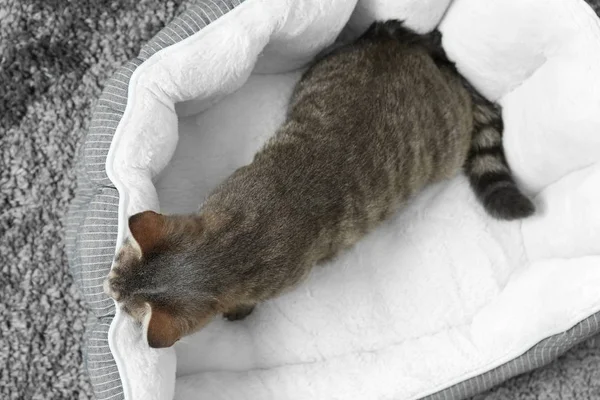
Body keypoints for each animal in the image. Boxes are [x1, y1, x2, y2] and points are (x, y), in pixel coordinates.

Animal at [103, 20, 536, 348]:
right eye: (117, 263)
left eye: (126, 308)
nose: (108, 288)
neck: (231, 245)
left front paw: (240, 310)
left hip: (448, 146)